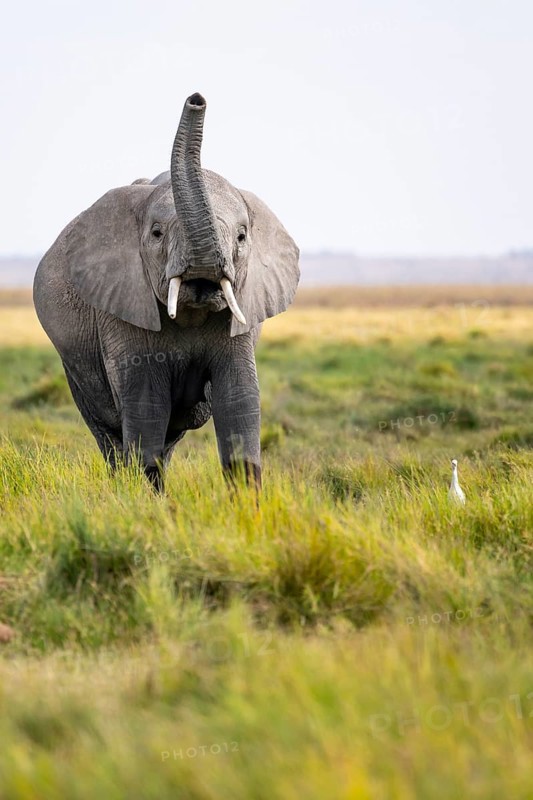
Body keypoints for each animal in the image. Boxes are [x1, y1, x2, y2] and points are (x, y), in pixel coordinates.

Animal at [34, 92, 300, 491]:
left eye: (241, 236)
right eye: (157, 233)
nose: (196, 99)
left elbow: (238, 396)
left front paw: (246, 504)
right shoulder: (120, 304)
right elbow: (146, 402)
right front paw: (141, 498)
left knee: (170, 437)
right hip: (75, 362)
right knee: (108, 431)